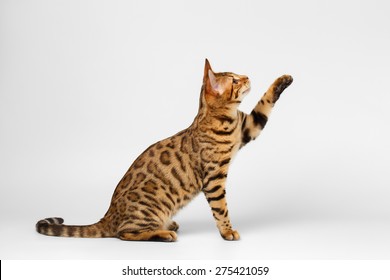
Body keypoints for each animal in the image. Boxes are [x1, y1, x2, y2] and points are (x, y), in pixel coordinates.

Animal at [36, 59, 292, 243]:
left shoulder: (248, 127)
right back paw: (163, 233)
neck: (224, 119)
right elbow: (221, 209)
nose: (247, 76)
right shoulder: (214, 178)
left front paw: (283, 79)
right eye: (235, 81)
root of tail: (107, 215)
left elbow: (264, 102)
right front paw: (227, 231)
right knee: (123, 233)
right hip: (150, 207)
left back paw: (167, 226)